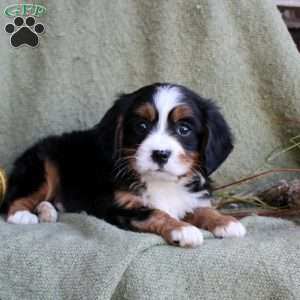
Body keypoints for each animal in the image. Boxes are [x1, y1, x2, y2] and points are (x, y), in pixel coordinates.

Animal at [3, 83, 245, 247]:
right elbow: (156, 213)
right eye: (142, 125)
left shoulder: (191, 198)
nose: (160, 154)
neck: (161, 183)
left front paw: (226, 221)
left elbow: (203, 209)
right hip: (43, 166)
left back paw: (48, 211)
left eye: (184, 129)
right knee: (14, 200)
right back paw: (23, 215)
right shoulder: (120, 206)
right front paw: (183, 230)